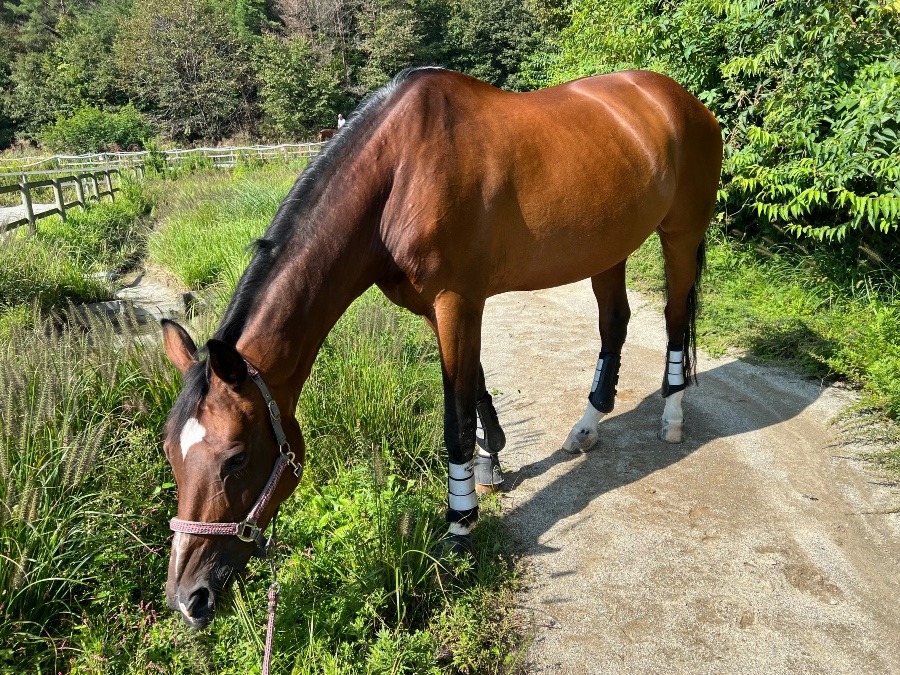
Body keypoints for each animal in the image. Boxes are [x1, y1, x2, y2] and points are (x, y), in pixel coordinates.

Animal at [163, 68, 724, 628]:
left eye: (236, 458)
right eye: (170, 452)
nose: (188, 598)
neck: (400, 172)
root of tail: (681, 100)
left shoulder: (457, 301)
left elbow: (454, 420)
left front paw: (459, 527)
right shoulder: (440, 310)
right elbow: (472, 386)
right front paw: (491, 459)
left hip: (679, 234)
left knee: (674, 322)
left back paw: (672, 416)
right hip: (609, 247)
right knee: (614, 326)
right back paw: (586, 427)